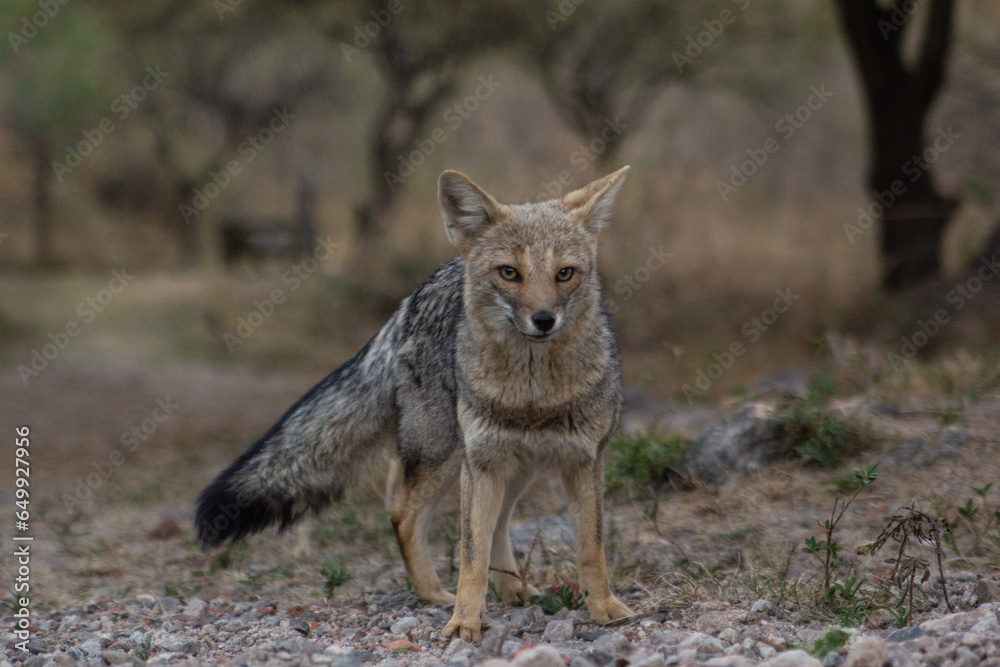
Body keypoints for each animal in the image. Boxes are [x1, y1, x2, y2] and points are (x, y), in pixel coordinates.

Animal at [195, 166, 632, 640]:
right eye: (510, 273)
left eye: (565, 273)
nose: (544, 320)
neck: (533, 396)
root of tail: (411, 298)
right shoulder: (481, 466)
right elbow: (471, 556)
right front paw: (464, 621)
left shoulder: (585, 461)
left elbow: (591, 548)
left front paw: (604, 607)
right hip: (449, 456)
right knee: (404, 516)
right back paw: (435, 594)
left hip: (509, 467)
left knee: (494, 525)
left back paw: (512, 590)